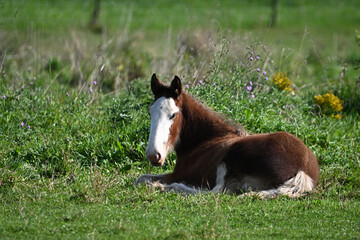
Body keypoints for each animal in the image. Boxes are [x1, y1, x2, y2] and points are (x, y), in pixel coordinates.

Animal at [136, 74, 320, 198]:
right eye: (150, 112)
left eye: (173, 114)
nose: (154, 155)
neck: (205, 141)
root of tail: (303, 169)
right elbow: (140, 178)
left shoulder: (179, 173)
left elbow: (141, 179)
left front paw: (158, 184)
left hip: (232, 156)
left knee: (216, 192)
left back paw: (165, 187)